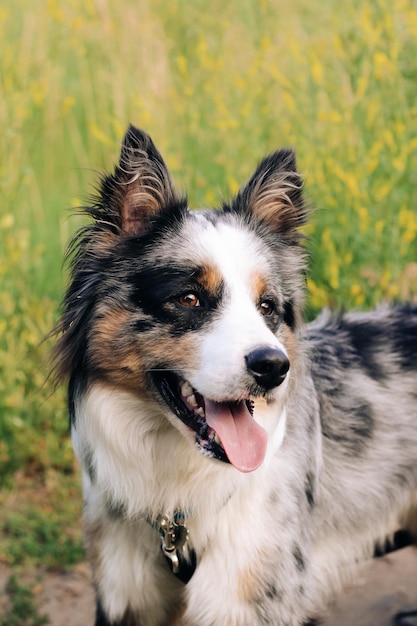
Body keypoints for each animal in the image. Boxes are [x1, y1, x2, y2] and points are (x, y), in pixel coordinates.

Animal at [52, 123, 416, 624]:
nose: (274, 367)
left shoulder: (251, 593)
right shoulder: (125, 594)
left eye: (267, 307)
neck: (178, 502)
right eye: (189, 298)